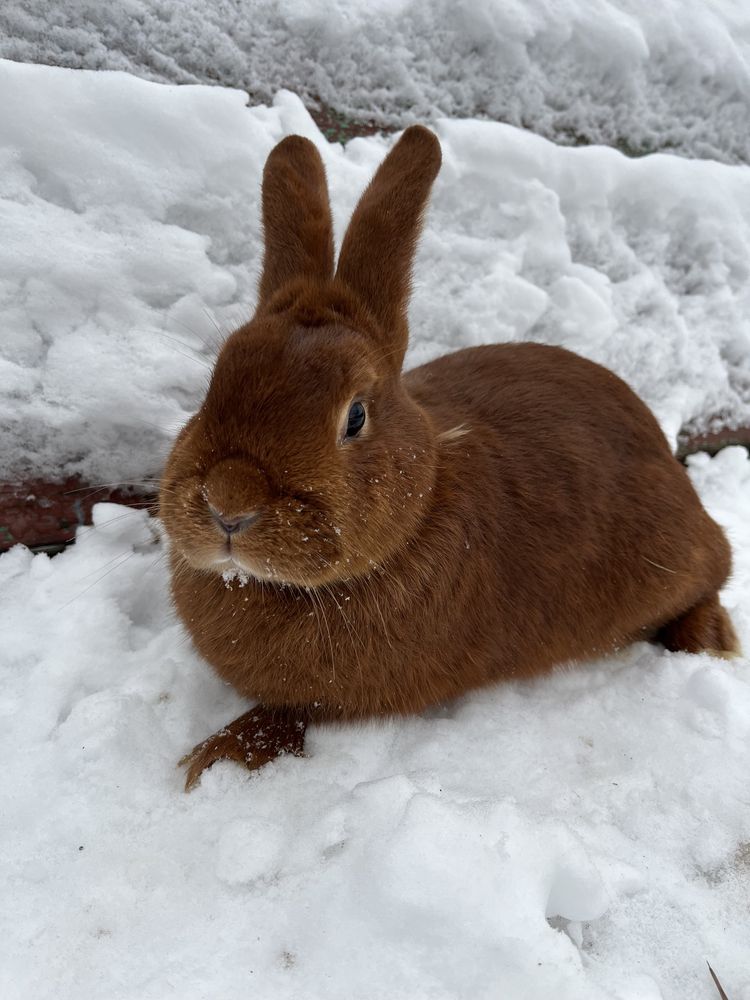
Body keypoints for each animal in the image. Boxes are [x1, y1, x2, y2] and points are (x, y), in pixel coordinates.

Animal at [160, 125, 740, 792]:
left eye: (354, 416)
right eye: (216, 381)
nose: (229, 501)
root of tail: (668, 457)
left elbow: (291, 713)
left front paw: (219, 757)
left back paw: (712, 640)